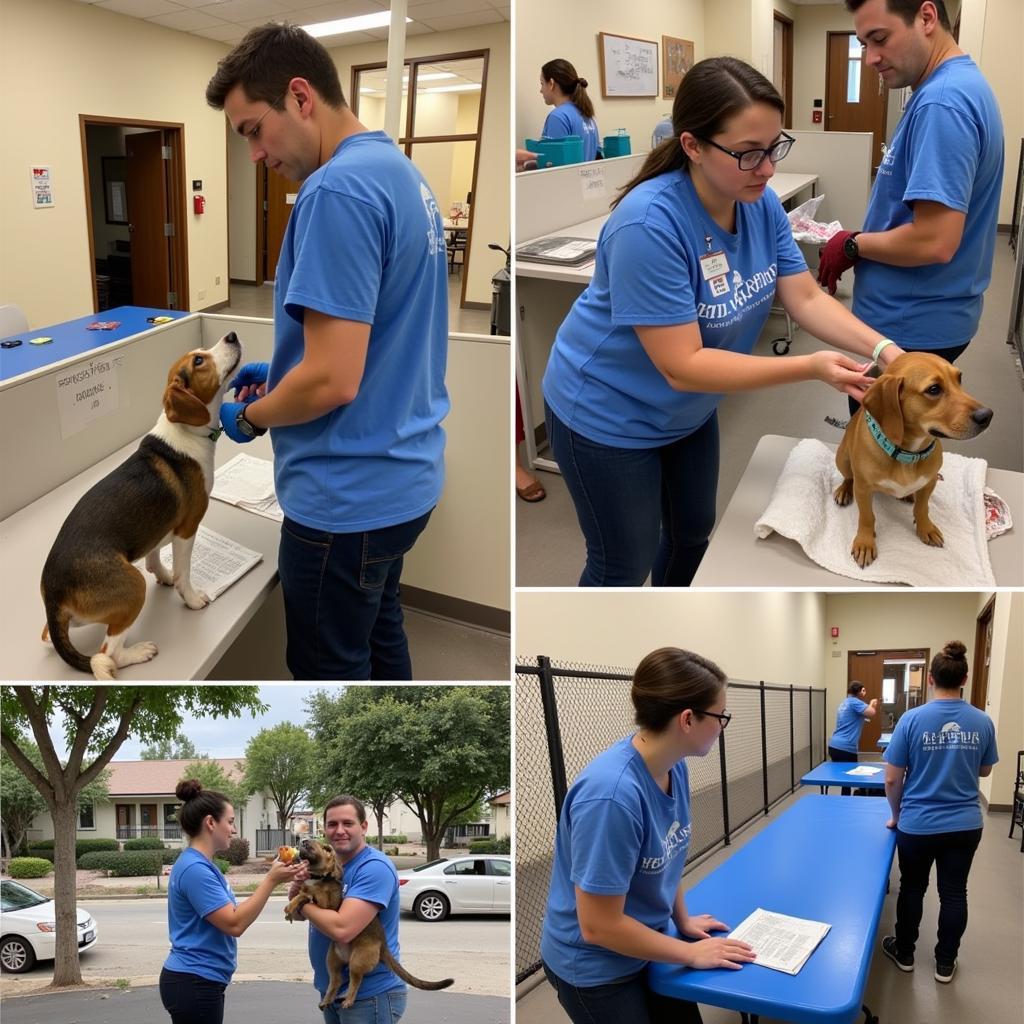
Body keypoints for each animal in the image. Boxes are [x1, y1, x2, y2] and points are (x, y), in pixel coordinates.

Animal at [39, 331, 243, 675]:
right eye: (198, 360)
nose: (232, 335)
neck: (185, 431)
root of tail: (54, 595)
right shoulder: (187, 529)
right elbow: (184, 573)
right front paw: (190, 598)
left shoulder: (161, 527)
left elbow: (155, 553)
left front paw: (161, 572)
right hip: (134, 587)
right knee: (108, 654)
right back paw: (139, 652)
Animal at [831, 348, 991, 565]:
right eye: (934, 389)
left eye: (959, 378)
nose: (987, 415)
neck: (908, 455)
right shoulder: (863, 489)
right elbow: (866, 517)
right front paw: (865, 541)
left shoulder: (929, 482)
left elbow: (922, 508)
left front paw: (926, 528)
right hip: (842, 459)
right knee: (849, 477)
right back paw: (844, 490)